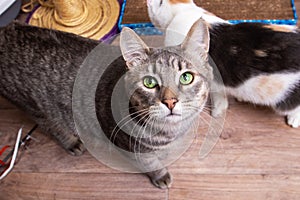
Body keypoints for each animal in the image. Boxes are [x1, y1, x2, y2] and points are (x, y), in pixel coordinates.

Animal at [0, 20, 211, 189]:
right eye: (149, 82)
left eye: (186, 77)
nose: (170, 101)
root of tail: (6, 30)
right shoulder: (132, 148)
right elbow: (151, 163)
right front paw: (160, 175)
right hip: (34, 107)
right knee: (51, 125)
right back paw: (71, 142)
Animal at [148, 0, 300, 128]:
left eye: (158, 2)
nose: (148, 2)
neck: (183, 11)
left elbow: (217, 96)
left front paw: (217, 112)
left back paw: (294, 120)